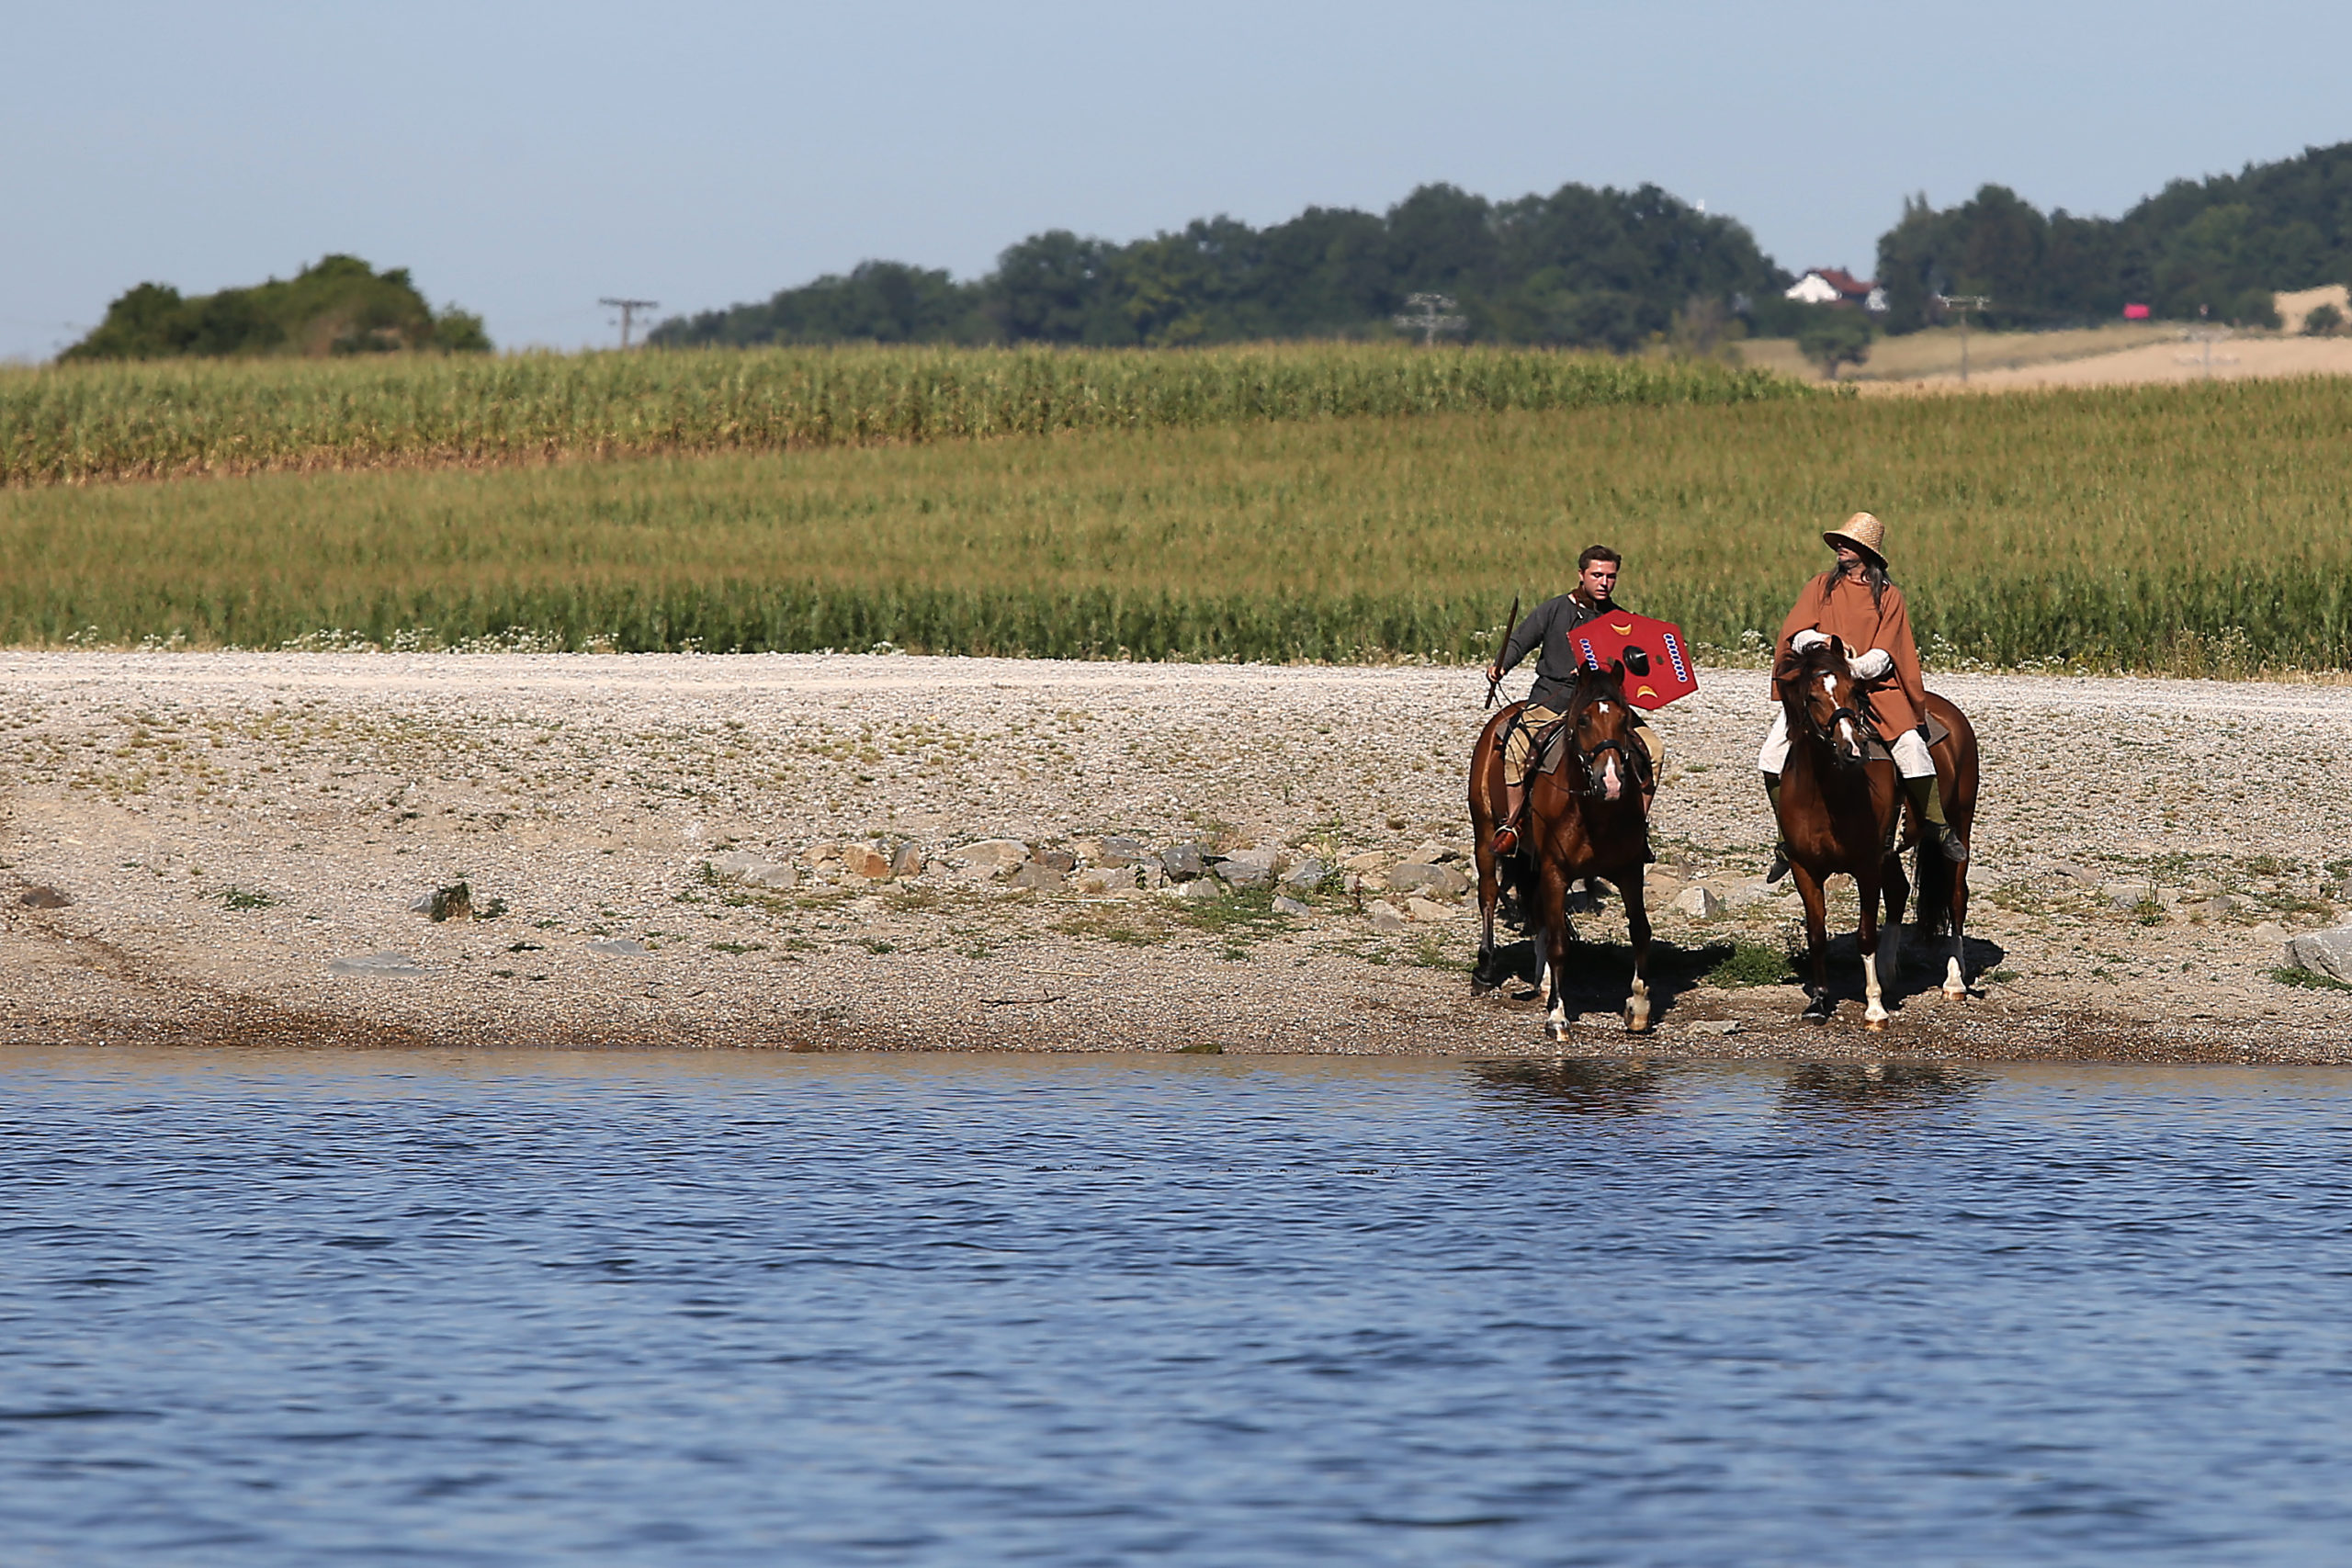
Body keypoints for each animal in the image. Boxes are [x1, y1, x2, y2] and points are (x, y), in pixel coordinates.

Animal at [1468, 661, 1655, 1038]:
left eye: (1624, 719)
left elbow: (1640, 932)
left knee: (1539, 914)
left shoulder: (1630, 870)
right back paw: (1486, 968)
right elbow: (1559, 944)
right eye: (1583, 720)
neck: (1595, 812)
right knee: (1489, 895)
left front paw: (1639, 1006)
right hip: (1485, 835)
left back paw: (1541, 983)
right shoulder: (1556, 870)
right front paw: (1557, 1016)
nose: (1611, 782)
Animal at [1773, 636, 1979, 1029]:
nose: (1852, 749)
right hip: (1890, 851)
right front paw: (1819, 1001)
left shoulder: (1866, 866)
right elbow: (1817, 935)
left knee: (1956, 897)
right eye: (1812, 697)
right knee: (1899, 891)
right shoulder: (1805, 869)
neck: (1824, 793)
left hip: (1961, 823)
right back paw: (1887, 969)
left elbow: (1865, 935)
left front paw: (1874, 1008)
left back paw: (1954, 981)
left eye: (1854, 691)